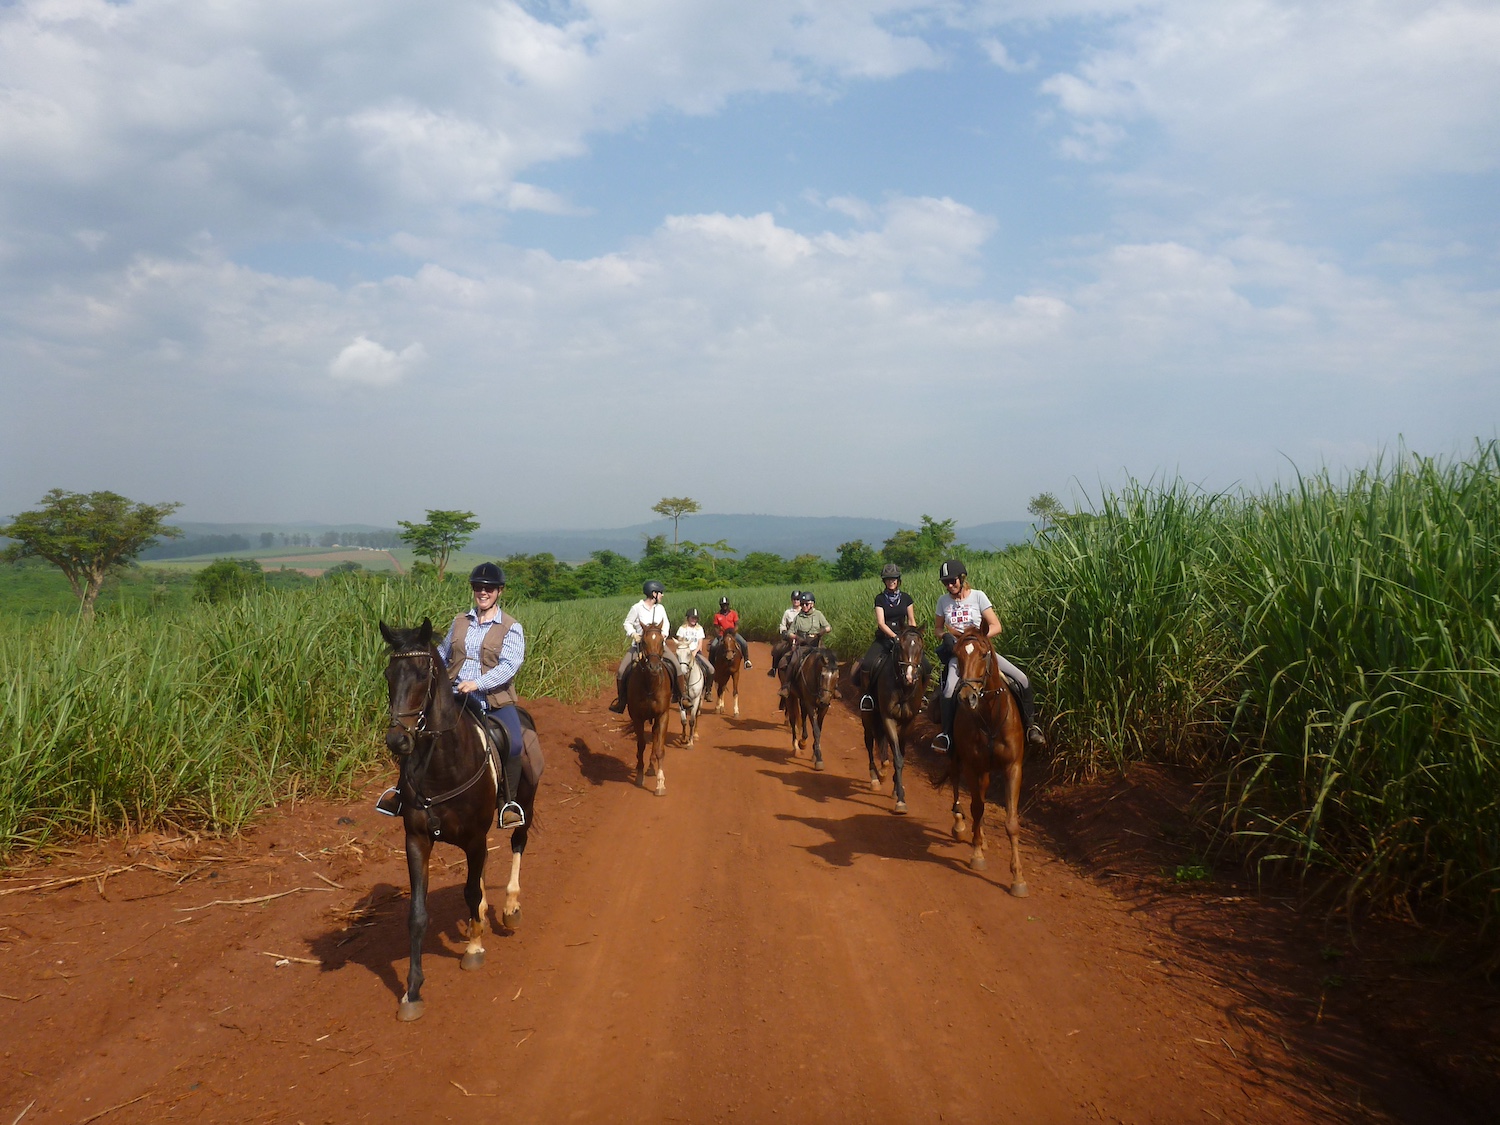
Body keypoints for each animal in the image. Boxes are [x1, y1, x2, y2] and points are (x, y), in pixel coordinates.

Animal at [378, 621, 543, 1026]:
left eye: (423, 675)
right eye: (389, 674)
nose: (397, 739)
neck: (442, 765)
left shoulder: (473, 837)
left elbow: (469, 891)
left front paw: (474, 949)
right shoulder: (417, 840)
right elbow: (418, 914)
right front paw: (412, 992)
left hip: (525, 807)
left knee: (517, 845)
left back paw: (509, 908)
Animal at [624, 621, 672, 798]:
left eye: (662, 640)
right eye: (643, 642)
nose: (654, 667)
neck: (650, 684)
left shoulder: (663, 715)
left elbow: (660, 749)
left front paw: (660, 784)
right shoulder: (637, 717)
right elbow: (641, 745)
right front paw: (639, 776)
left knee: (656, 736)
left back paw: (652, 768)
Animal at [786, 642, 846, 774]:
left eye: (837, 677)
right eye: (822, 676)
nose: (823, 701)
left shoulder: (824, 708)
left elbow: (819, 728)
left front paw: (814, 751)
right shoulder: (810, 704)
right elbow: (816, 730)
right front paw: (818, 758)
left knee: (802, 715)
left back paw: (803, 741)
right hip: (791, 696)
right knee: (793, 719)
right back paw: (797, 746)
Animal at [858, 627, 924, 822]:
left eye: (920, 648)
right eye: (900, 646)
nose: (910, 676)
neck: (903, 687)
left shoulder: (908, 722)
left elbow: (900, 754)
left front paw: (897, 789)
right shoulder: (888, 718)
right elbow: (897, 758)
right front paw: (900, 801)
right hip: (868, 716)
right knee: (870, 742)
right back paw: (875, 777)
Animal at [948, 627, 1032, 900]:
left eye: (984, 654)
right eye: (957, 655)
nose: (967, 697)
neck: (990, 716)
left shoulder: (1013, 768)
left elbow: (1011, 822)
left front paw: (1018, 879)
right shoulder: (972, 765)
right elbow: (976, 808)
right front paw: (977, 856)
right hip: (960, 760)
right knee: (960, 791)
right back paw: (961, 826)